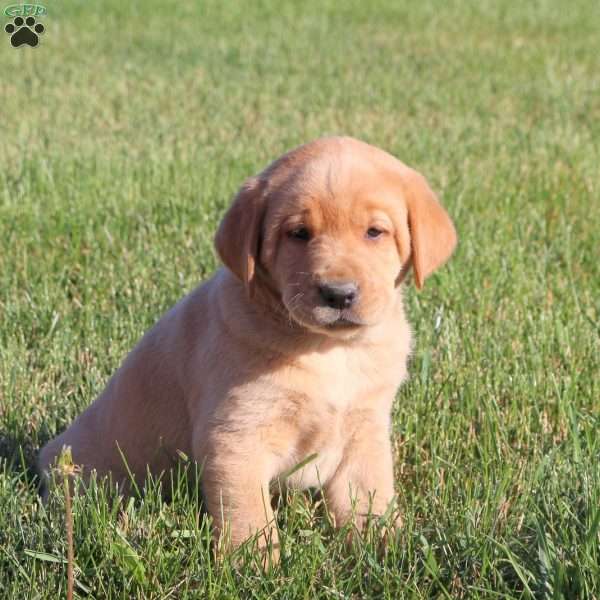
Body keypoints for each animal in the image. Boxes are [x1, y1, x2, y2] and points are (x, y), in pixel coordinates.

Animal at [37, 136, 454, 552]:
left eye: (375, 232)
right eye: (298, 233)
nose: (338, 294)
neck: (329, 350)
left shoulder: (364, 427)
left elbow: (368, 496)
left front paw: (385, 547)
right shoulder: (235, 436)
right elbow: (248, 513)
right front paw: (254, 561)